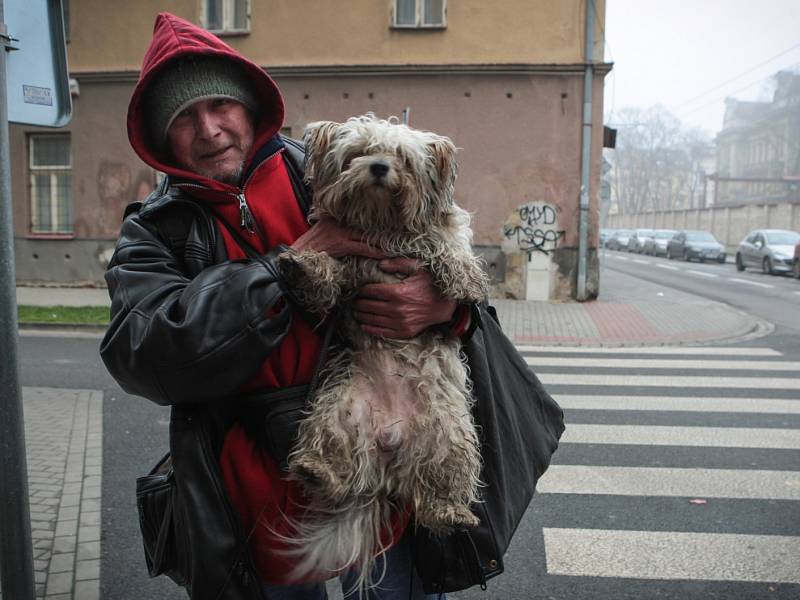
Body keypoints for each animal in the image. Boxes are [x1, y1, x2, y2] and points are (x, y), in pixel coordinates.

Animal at [276, 113, 488, 592]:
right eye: (359, 152)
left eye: (403, 158)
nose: (378, 168)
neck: (382, 227)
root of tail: (391, 451)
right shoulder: (345, 276)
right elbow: (327, 278)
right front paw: (305, 263)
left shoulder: (435, 236)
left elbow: (446, 244)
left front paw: (464, 277)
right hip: (337, 412)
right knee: (335, 472)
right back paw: (314, 469)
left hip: (449, 434)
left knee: (437, 495)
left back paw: (454, 512)